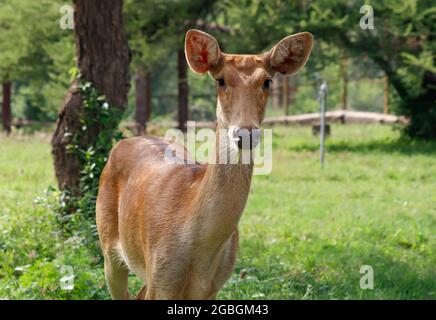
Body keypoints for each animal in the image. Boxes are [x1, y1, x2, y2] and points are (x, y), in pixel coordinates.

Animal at [96, 28, 312, 298]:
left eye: (267, 81)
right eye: (220, 80)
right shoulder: (161, 277)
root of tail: (123, 143)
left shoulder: (212, 287)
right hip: (109, 245)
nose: (246, 134)